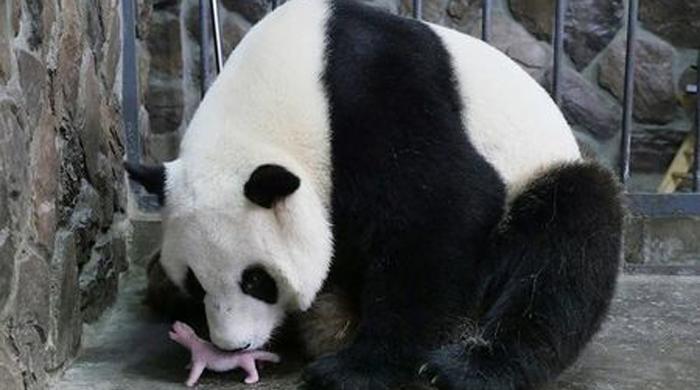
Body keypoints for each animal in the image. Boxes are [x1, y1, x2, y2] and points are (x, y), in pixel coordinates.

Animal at [126, 0, 624, 388]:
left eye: (256, 280)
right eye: (195, 281)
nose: (234, 345)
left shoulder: (373, 93)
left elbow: (445, 208)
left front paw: (355, 368)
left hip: (539, 178)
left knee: (568, 241)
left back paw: (469, 368)